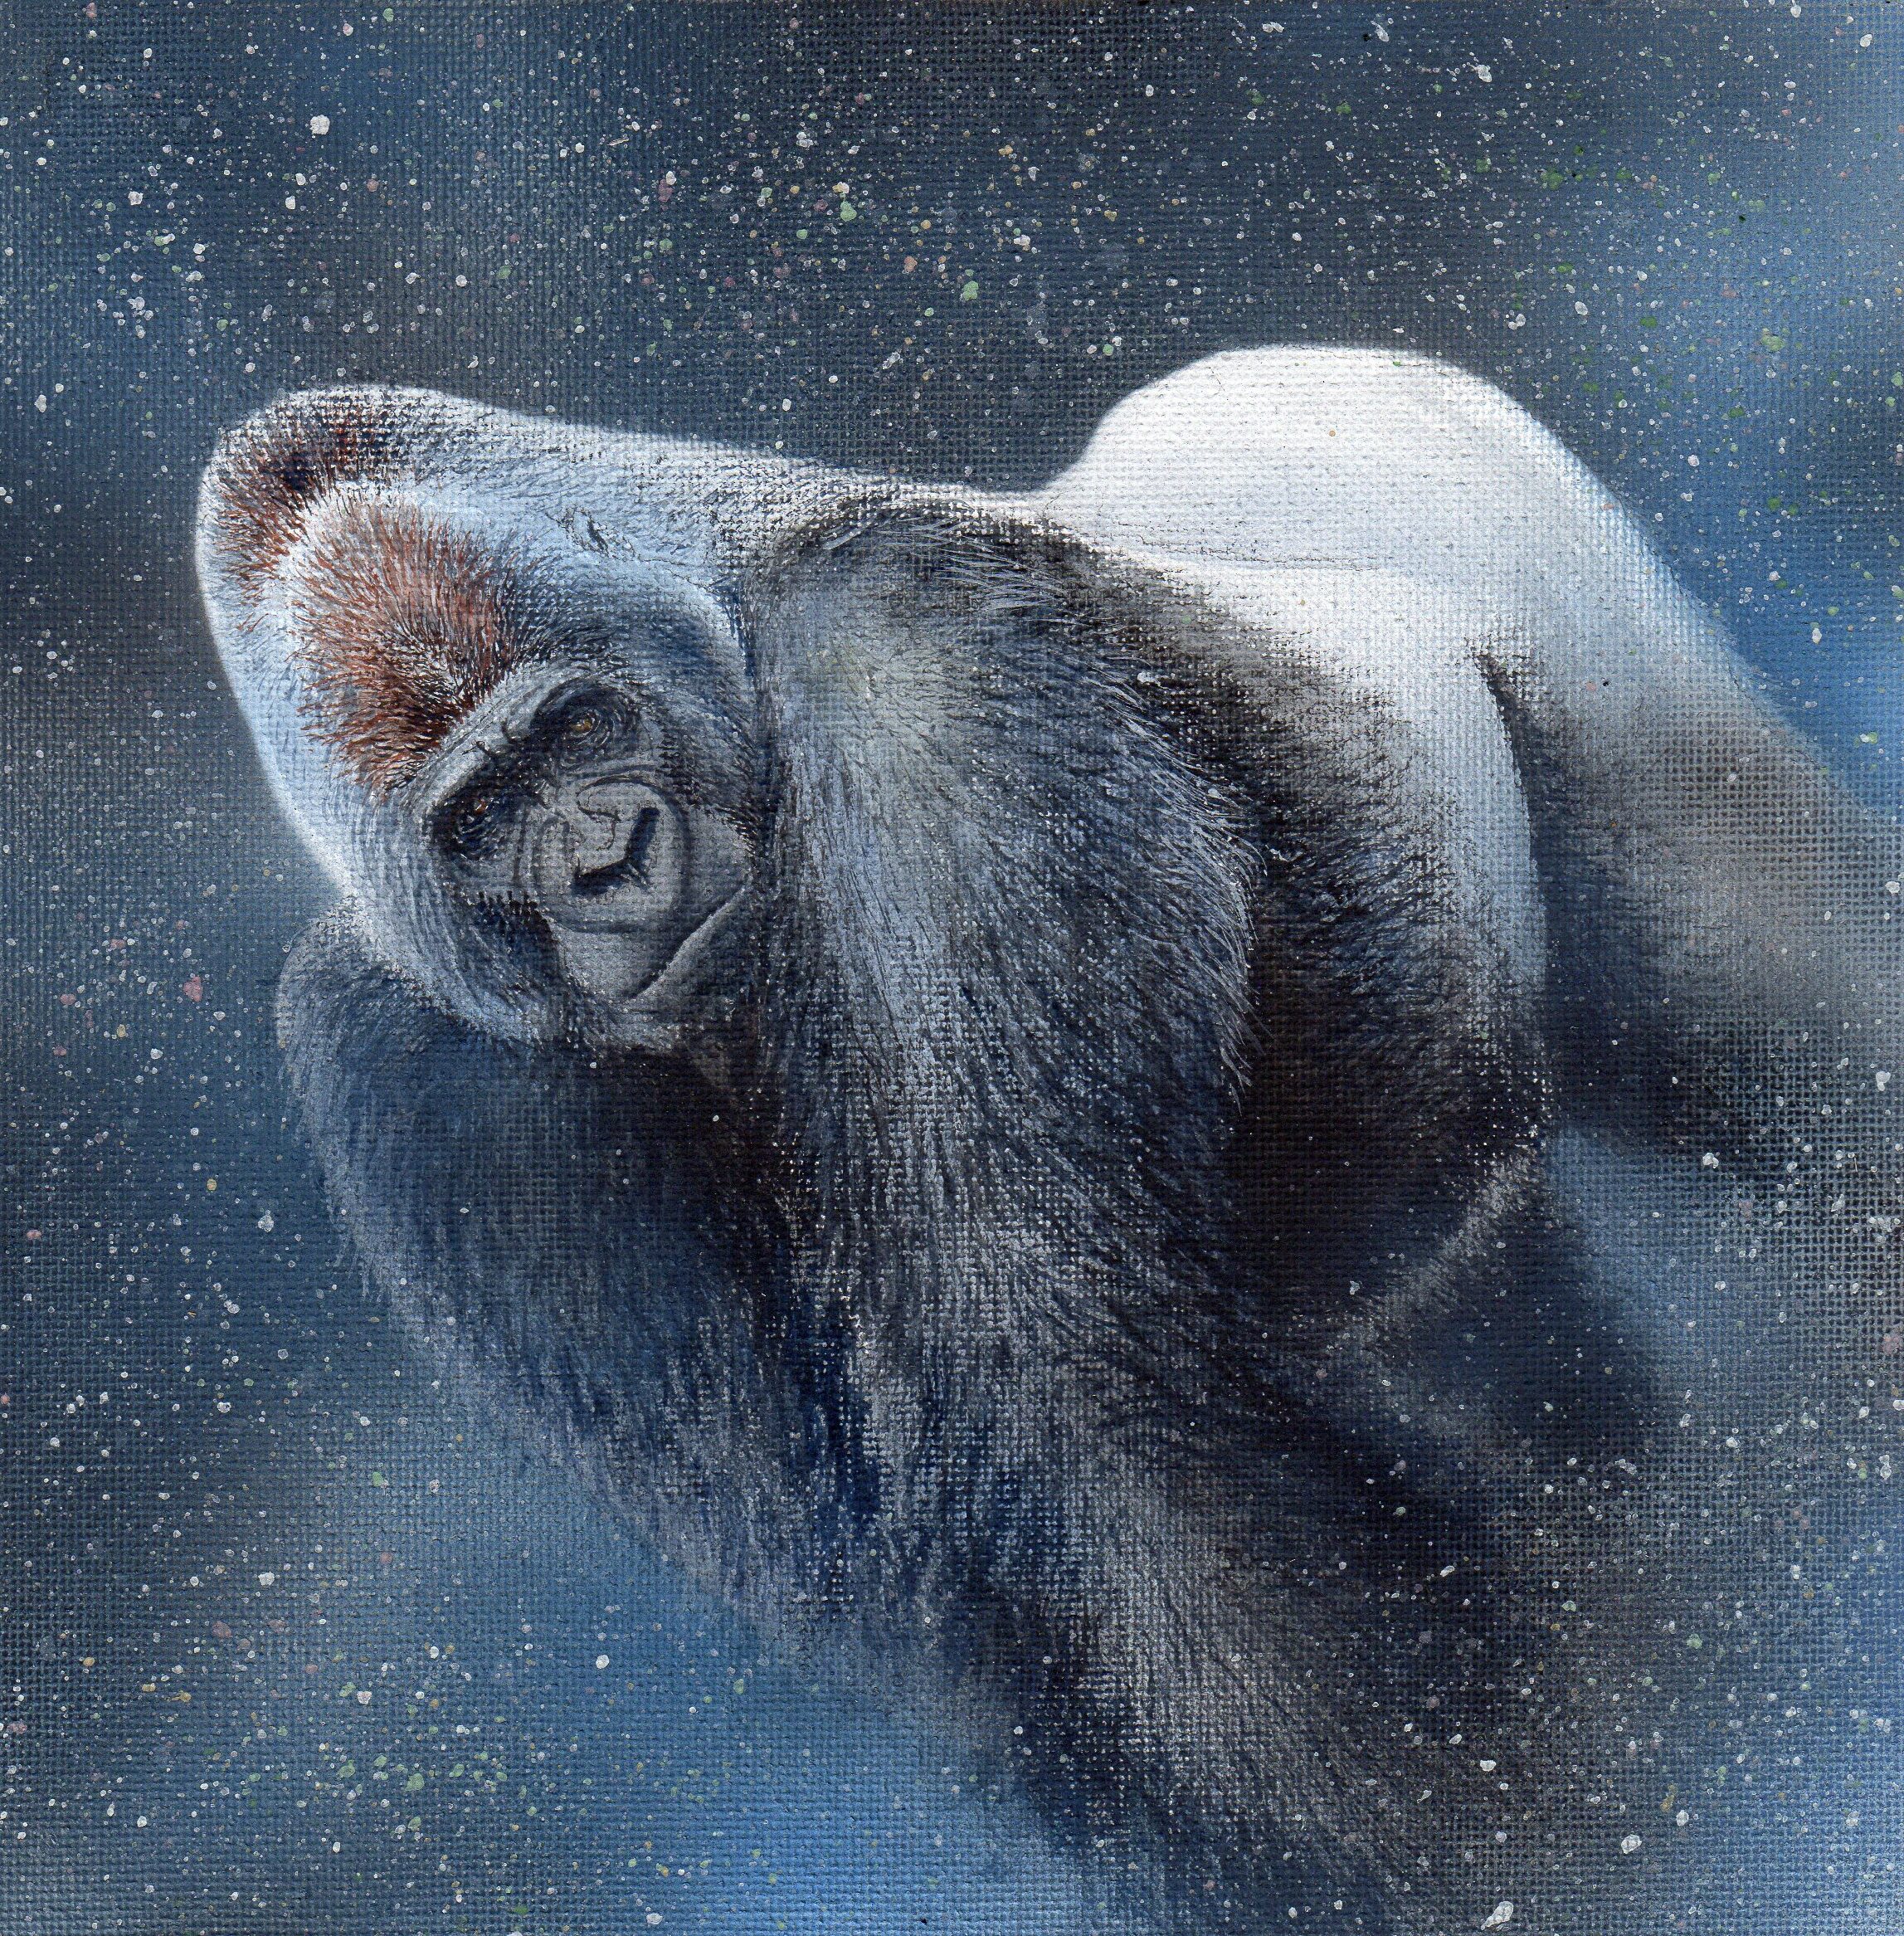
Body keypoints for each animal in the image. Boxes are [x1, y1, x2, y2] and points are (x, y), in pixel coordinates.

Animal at [195, 348, 1904, 1933]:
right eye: (483, 817)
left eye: (583, 724)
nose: (608, 860)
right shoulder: (411, 1081)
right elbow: (958, 1634)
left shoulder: (905, 659)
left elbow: (1107, 1439)